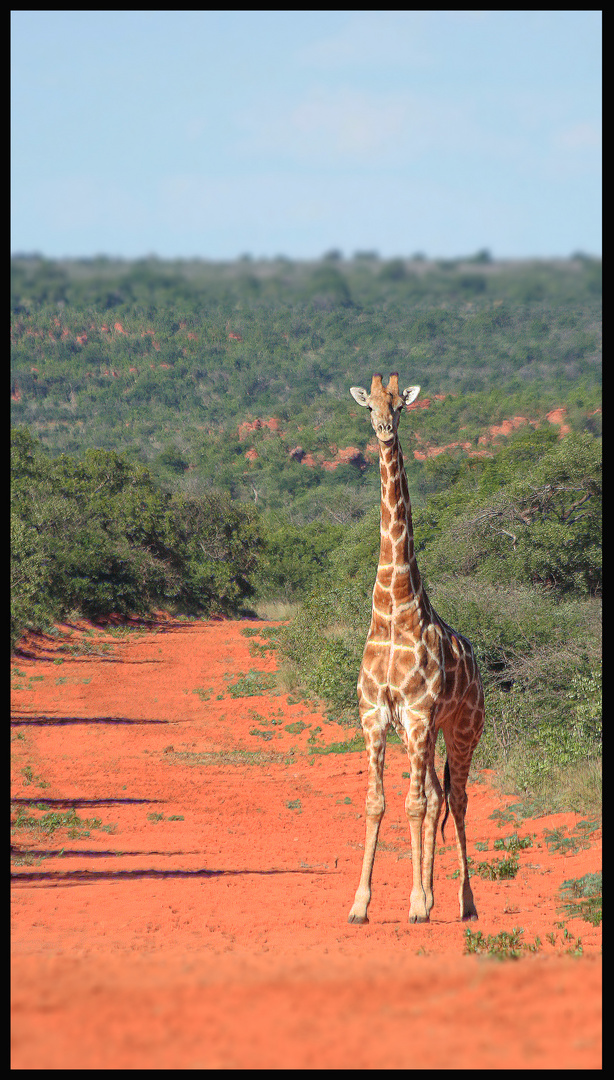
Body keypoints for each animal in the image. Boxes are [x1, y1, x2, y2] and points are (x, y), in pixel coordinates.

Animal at [345, 375, 483, 924]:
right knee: (434, 795)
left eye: (400, 405)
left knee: (457, 799)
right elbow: (378, 803)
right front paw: (360, 904)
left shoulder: (422, 713)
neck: (392, 607)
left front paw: (419, 902)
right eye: (370, 407)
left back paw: (462, 902)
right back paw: (427, 896)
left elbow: (415, 805)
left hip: (462, 730)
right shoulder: (376, 715)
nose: (385, 429)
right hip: (419, 733)